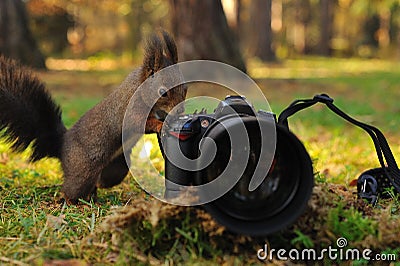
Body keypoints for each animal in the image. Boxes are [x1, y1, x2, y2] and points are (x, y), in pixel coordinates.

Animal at [0, 30, 188, 204]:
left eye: (185, 88)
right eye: (163, 92)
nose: (180, 110)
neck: (140, 88)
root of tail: (61, 145)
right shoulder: (131, 109)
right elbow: (139, 123)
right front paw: (161, 124)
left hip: (116, 168)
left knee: (101, 181)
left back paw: (93, 197)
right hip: (82, 170)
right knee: (72, 188)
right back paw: (72, 201)